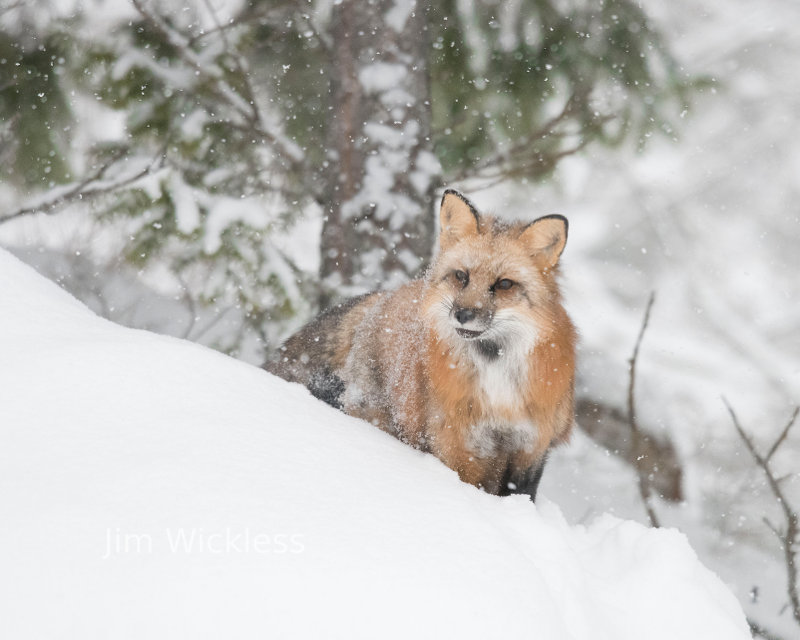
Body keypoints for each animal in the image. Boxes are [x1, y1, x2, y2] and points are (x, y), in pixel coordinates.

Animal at [268, 190, 576, 500]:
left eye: (504, 284)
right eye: (461, 276)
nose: (463, 314)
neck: (496, 382)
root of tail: (380, 300)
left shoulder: (530, 449)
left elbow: (521, 496)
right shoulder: (456, 445)